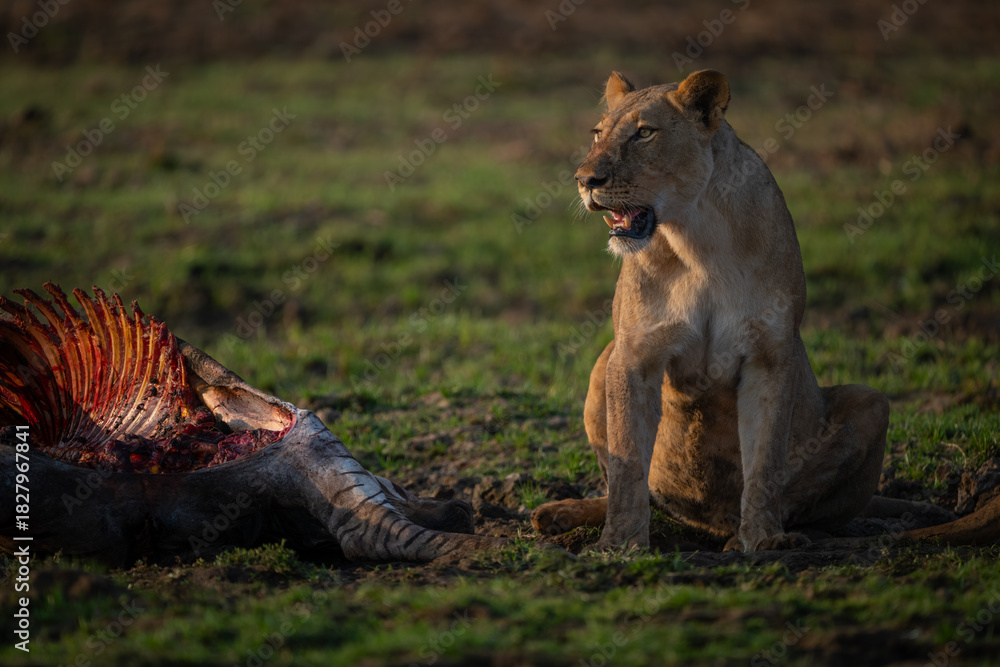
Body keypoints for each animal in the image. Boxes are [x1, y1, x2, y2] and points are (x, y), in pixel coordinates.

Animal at [531, 70, 1000, 552]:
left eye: (644, 133)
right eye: (597, 134)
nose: (584, 179)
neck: (695, 241)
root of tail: (705, 523)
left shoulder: (770, 355)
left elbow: (766, 460)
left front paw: (763, 539)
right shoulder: (633, 355)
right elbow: (626, 465)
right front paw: (619, 545)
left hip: (873, 402)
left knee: (809, 503)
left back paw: (750, 537)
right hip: (602, 362)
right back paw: (558, 514)